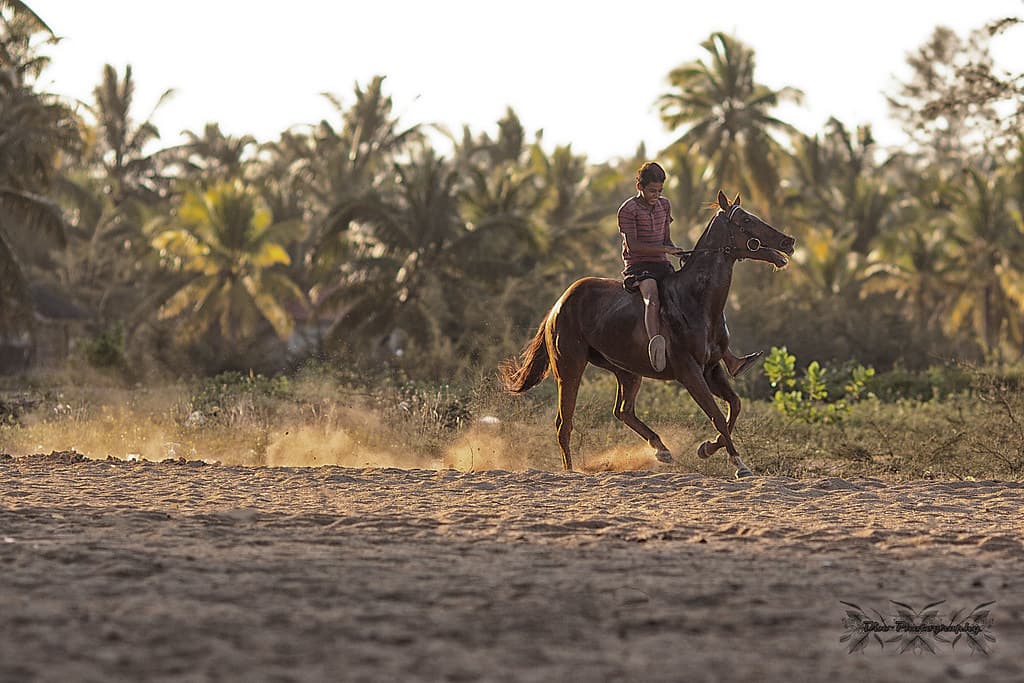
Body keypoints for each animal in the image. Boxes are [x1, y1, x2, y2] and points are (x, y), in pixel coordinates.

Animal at [499, 191, 796, 478]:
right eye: (745, 220)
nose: (788, 241)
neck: (695, 301)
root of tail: (557, 306)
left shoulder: (711, 370)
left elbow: (734, 406)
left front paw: (708, 448)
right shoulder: (690, 373)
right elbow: (717, 416)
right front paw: (738, 464)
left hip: (626, 371)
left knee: (623, 411)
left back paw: (661, 450)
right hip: (569, 368)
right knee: (564, 423)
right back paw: (571, 470)